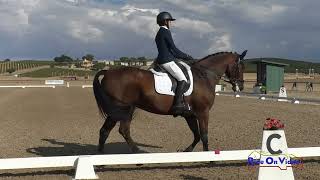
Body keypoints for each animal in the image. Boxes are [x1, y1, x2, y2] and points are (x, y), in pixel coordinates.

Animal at [92, 50, 248, 153]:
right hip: (124, 109)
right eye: (240, 67)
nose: (240, 87)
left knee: (106, 131)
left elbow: (196, 135)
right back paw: (137, 154)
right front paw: (208, 159)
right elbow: (204, 135)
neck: (204, 75)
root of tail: (108, 72)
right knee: (122, 130)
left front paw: (187, 152)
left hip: (121, 110)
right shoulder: (203, 112)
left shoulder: (190, 114)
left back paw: (101, 157)